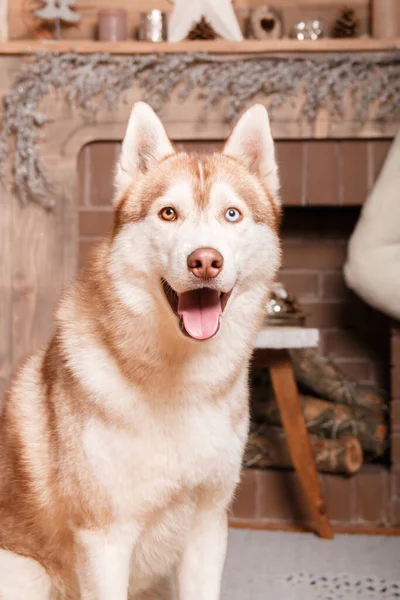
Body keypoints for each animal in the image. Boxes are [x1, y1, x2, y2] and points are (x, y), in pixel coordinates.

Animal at [0, 103, 282, 600]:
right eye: (168, 213)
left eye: (232, 214)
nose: (205, 261)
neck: (179, 380)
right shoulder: (104, 539)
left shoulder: (208, 526)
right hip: (26, 573)